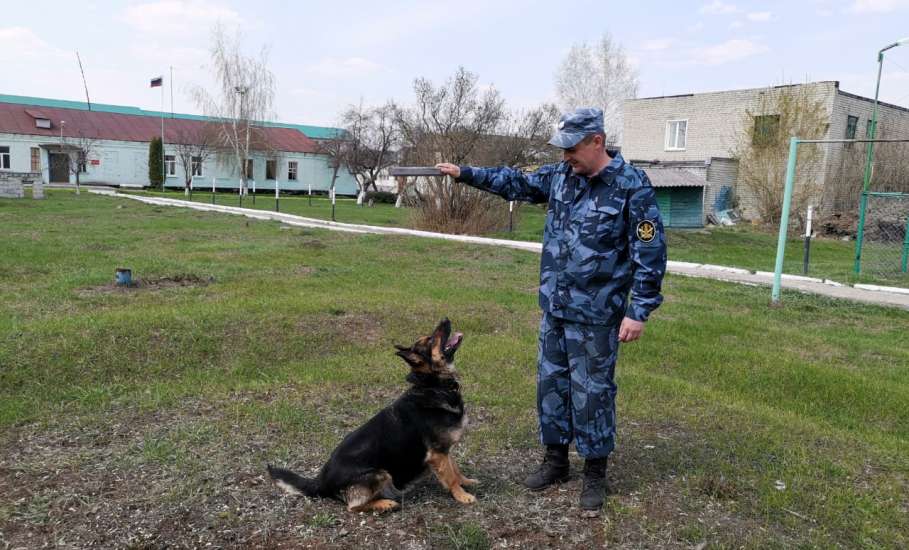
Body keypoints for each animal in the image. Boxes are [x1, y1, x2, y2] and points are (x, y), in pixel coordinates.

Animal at [266, 320, 476, 512]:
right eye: (431, 340)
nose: (445, 319)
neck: (433, 385)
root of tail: (320, 481)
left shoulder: (445, 450)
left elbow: (455, 468)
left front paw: (466, 481)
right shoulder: (437, 453)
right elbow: (450, 476)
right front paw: (461, 495)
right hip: (379, 473)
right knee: (353, 506)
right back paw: (385, 504)